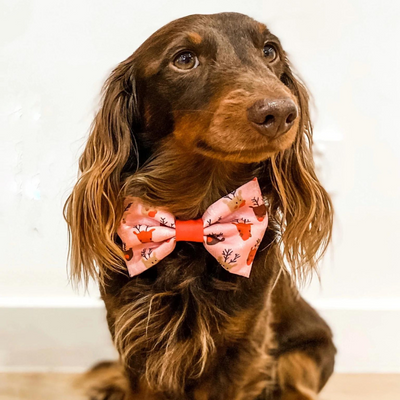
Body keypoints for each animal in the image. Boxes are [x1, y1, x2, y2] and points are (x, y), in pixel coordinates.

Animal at [65, 12, 334, 400]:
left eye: (270, 51)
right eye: (184, 59)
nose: (282, 112)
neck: (192, 223)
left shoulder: (243, 344)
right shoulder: (133, 336)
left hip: (303, 357)